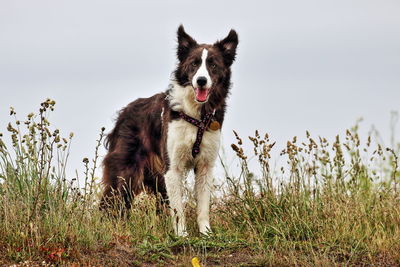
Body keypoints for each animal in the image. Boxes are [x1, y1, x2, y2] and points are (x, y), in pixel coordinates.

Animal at [101, 25, 238, 237]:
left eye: (213, 65)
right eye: (194, 64)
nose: (201, 81)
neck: (197, 115)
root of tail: (124, 112)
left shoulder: (205, 166)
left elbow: (203, 206)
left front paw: (206, 233)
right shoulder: (172, 168)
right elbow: (178, 209)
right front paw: (182, 235)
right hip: (125, 172)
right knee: (111, 202)